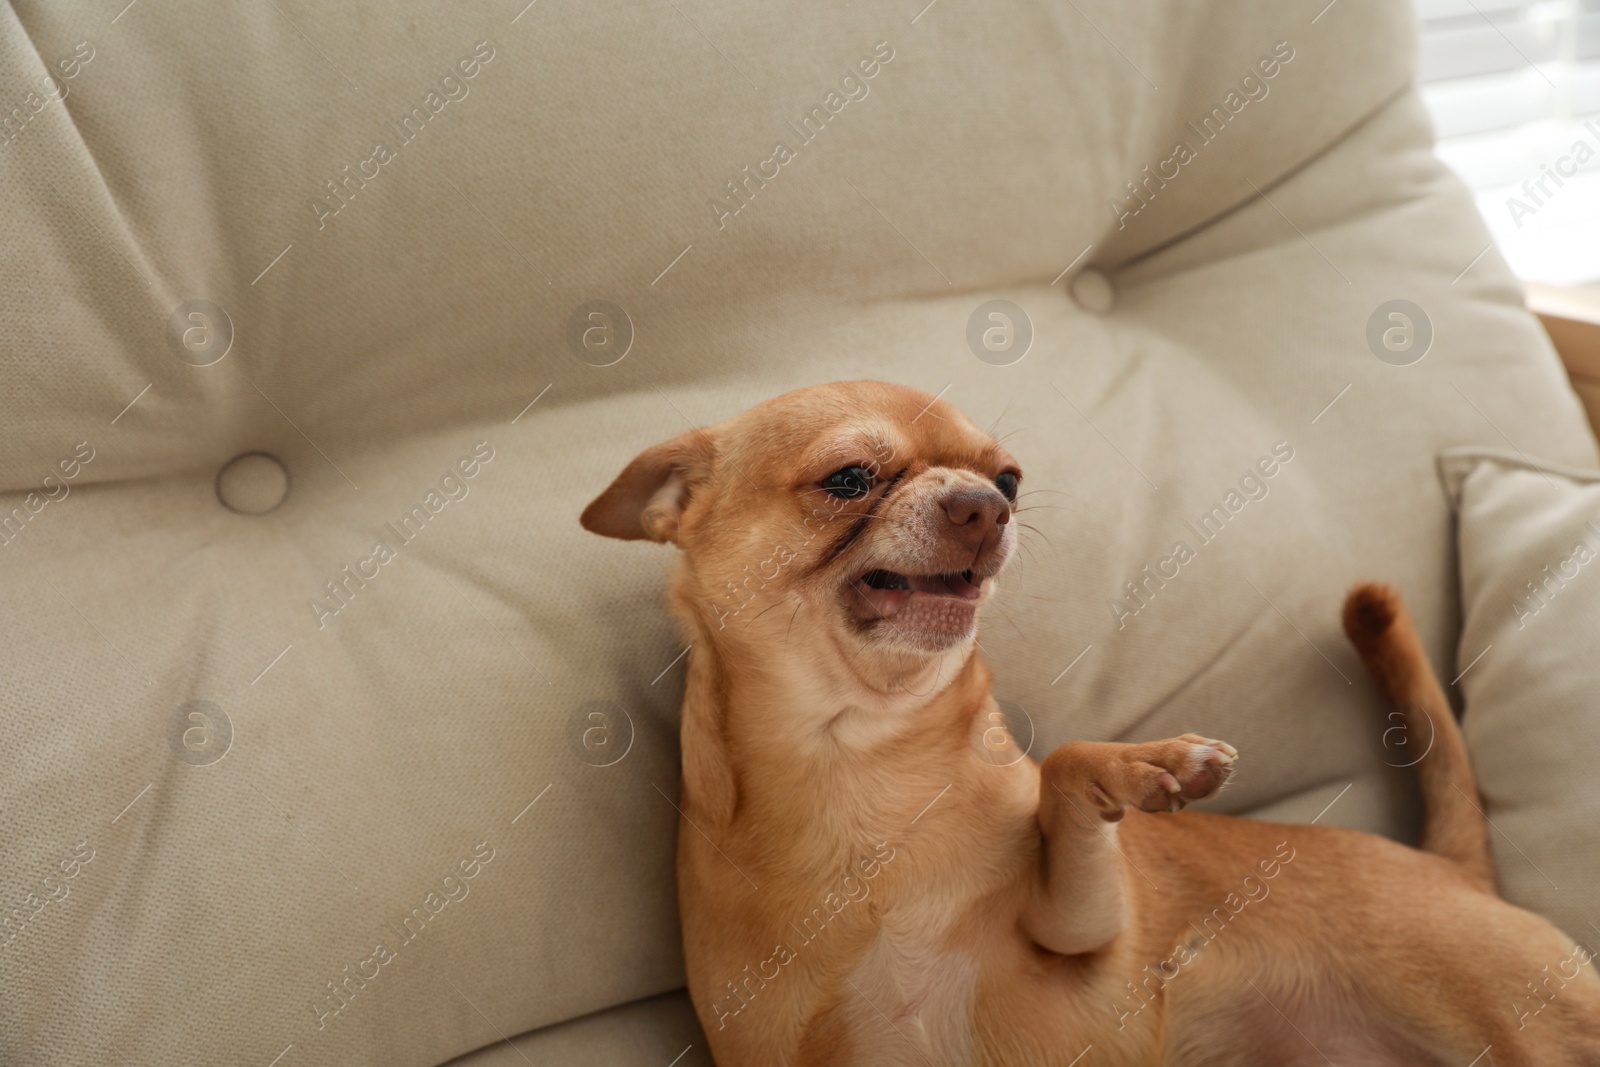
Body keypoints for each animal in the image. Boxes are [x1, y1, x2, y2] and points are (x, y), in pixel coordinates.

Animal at [585, 379, 1600, 1062]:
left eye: (1008, 478)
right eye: (848, 477)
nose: (984, 506)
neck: (860, 757)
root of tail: (1453, 869)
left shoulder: (1081, 927)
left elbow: (1070, 766)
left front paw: (1153, 764)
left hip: (1537, 1016)